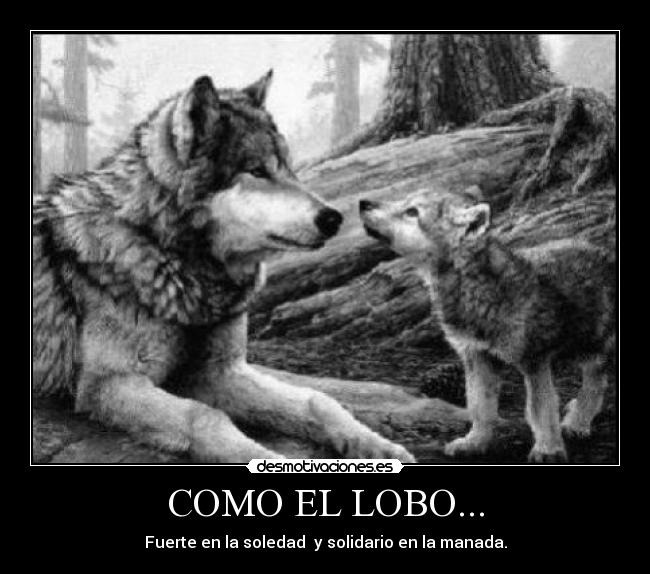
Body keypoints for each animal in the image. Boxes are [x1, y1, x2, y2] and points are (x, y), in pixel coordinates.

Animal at [32, 70, 415, 463]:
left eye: (290, 168)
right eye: (257, 170)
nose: (334, 218)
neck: (177, 264)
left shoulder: (219, 372)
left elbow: (317, 400)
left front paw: (377, 444)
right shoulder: (107, 384)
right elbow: (204, 416)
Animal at [359, 189, 615, 462]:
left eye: (412, 212)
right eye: (403, 202)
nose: (363, 202)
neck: (474, 288)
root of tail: (603, 250)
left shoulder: (534, 361)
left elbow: (540, 410)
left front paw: (548, 449)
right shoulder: (476, 356)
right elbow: (480, 407)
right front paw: (474, 443)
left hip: (592, 349)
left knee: (596, 385)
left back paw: (577, 423)